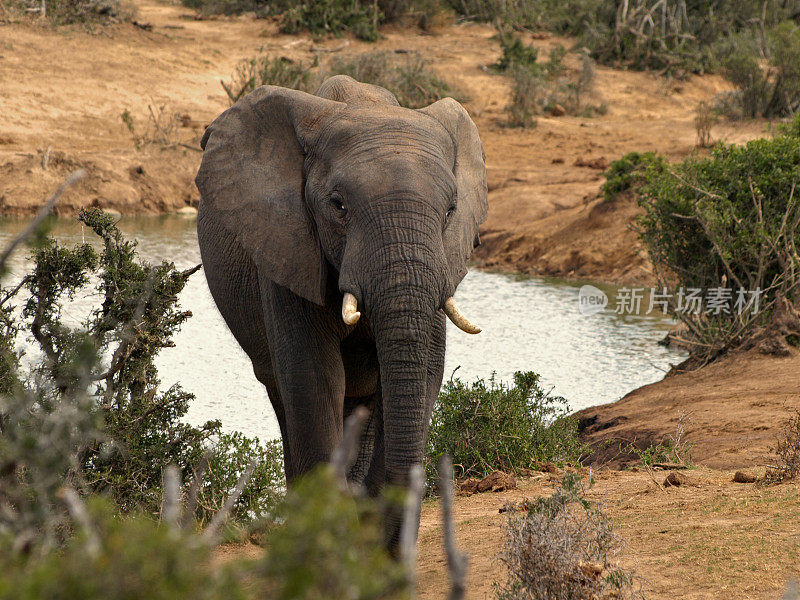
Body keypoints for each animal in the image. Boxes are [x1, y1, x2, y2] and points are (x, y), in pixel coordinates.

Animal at [195, 74, 488, 548]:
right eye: (339, 206)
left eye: (450, 211)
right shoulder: (288, 248)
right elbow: (314, 376)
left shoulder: (444, 263)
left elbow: (425, 370)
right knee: (285, 392)